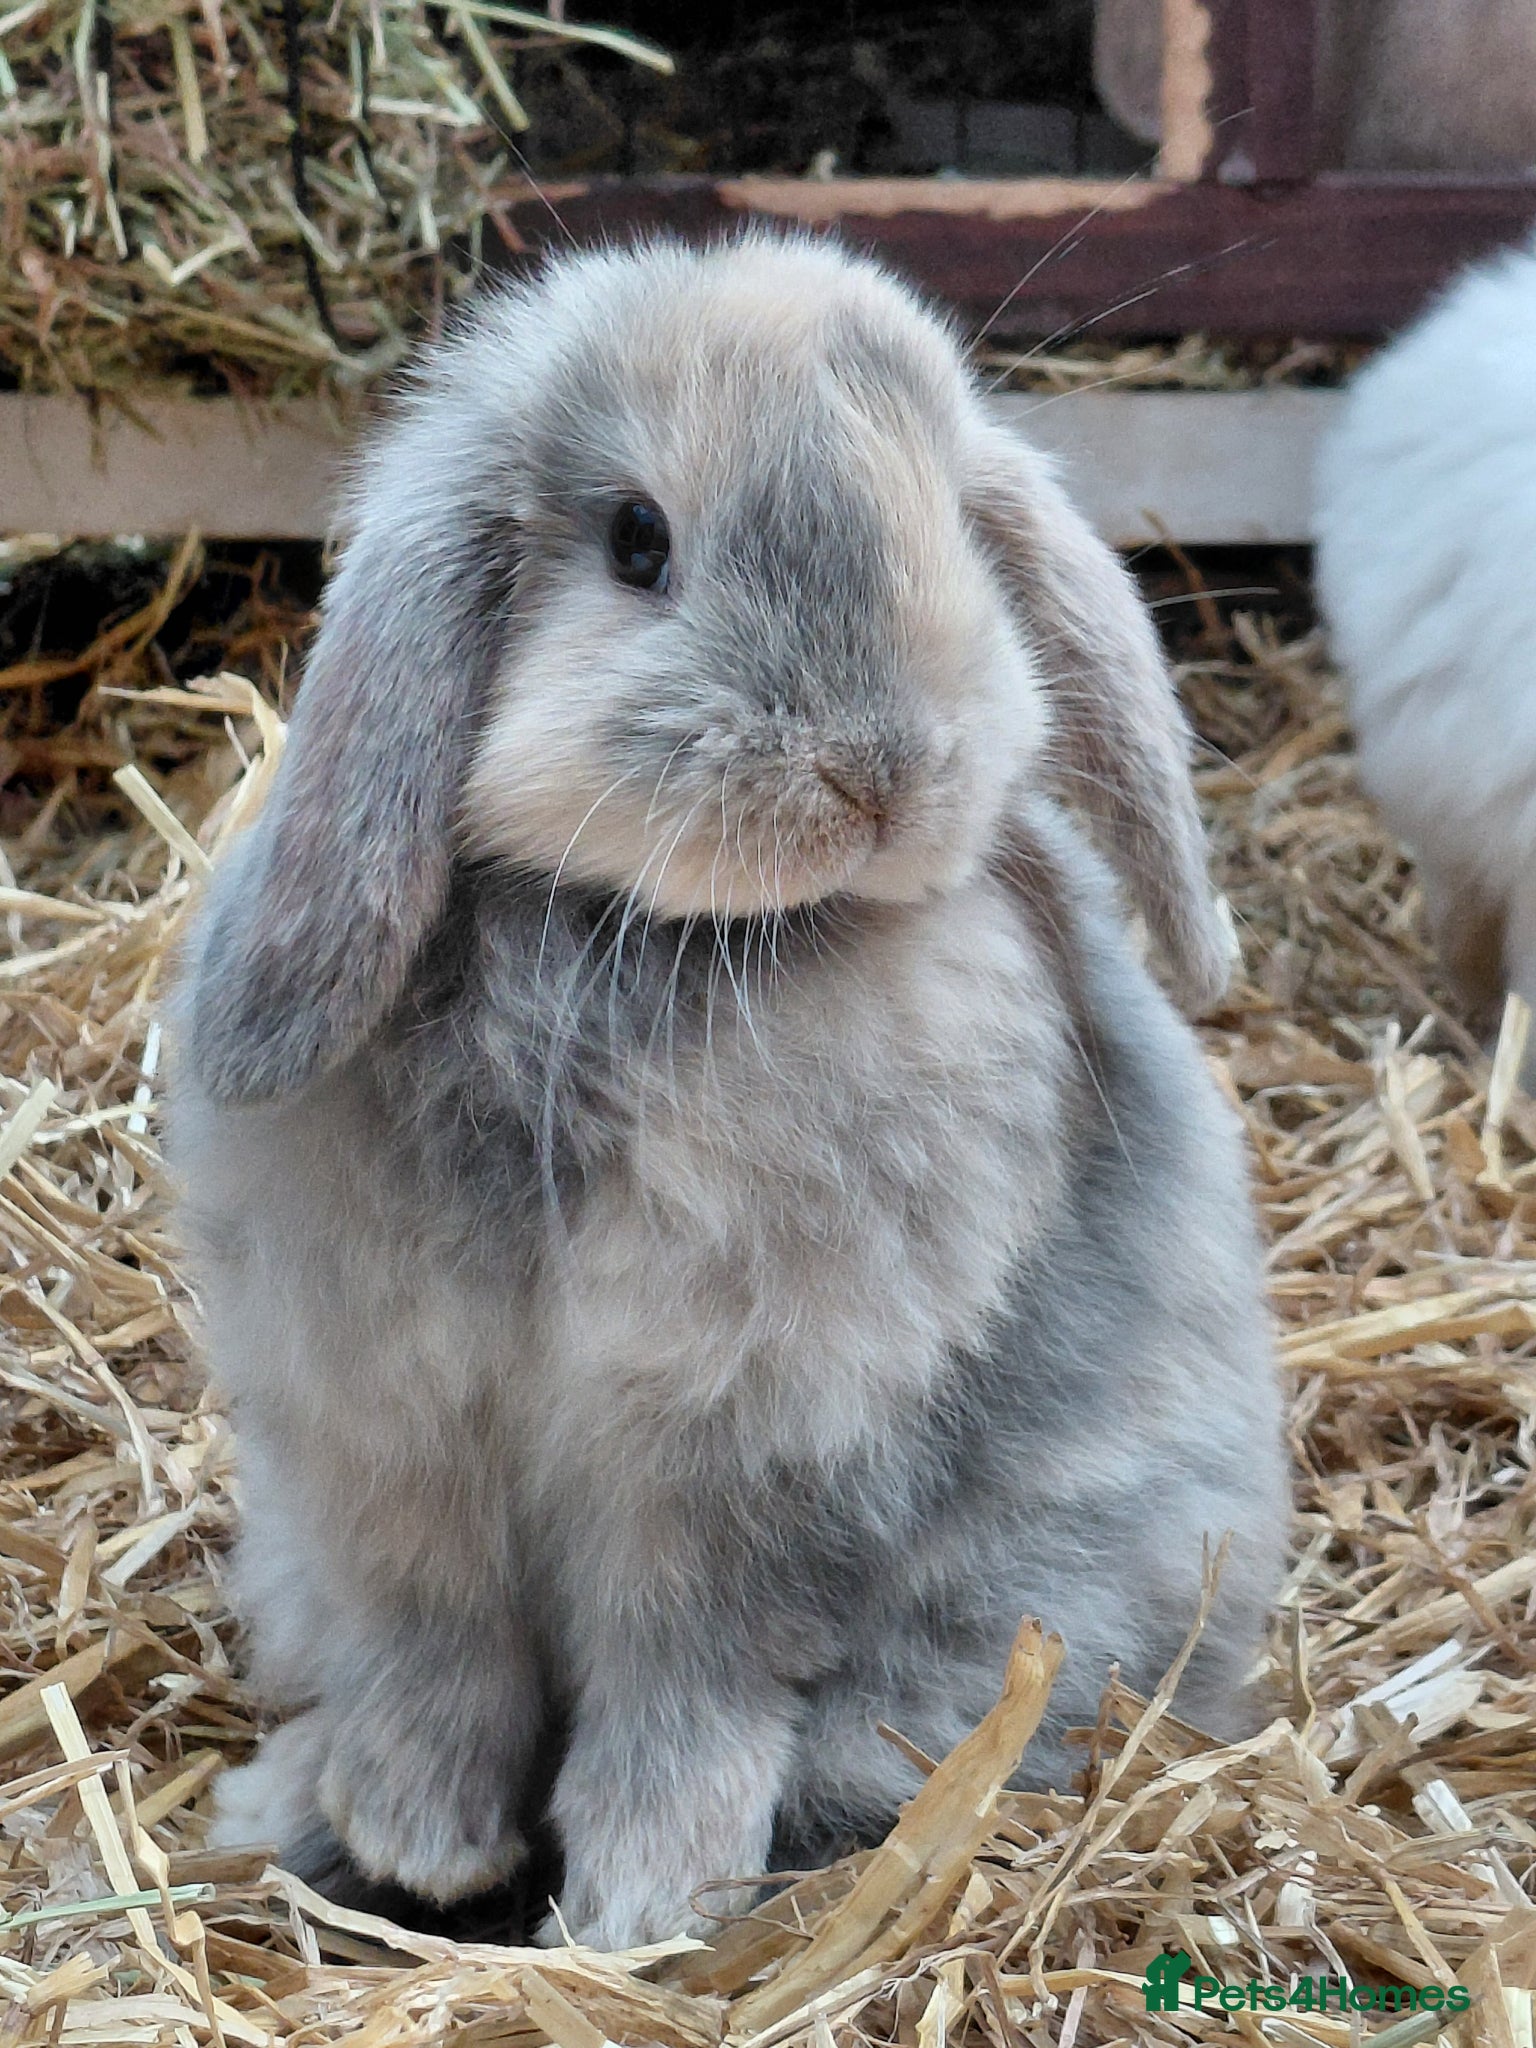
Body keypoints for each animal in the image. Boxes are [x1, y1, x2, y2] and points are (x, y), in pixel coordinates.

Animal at [170, 230, 1288, 1952]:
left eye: (950, 522)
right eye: (639, 540)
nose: (879, 768)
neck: (671, 943)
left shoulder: (745, 1467)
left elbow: (686, 1689)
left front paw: (636, 1906)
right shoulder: (388, 1444)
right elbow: (433, 1653)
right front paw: (419, 1841)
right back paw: (293, 1812)